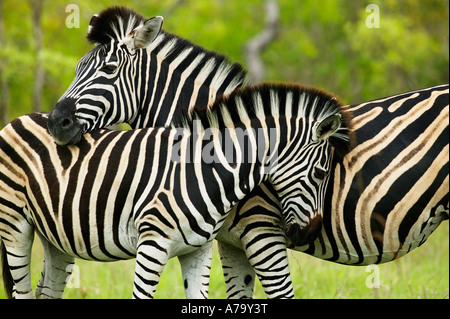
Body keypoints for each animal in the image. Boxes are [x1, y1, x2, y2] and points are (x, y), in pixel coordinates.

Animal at [0, 84, 348, 298]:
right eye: (321, 173)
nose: (310, 233)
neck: (205, 173)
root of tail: (19, 118)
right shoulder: (151, 246)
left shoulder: (198, 251)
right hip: (15, 226)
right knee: (22, 290)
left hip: (56, 237)